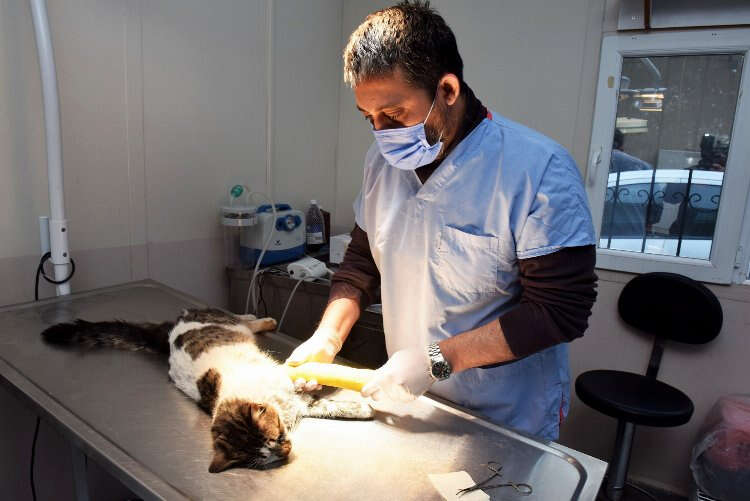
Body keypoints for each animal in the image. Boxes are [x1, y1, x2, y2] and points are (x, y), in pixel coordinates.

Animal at [41, 308, 374, 473]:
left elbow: (319, 389)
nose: (285, 450)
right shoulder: (300, 404)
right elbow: (332, 406)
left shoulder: (289, 385)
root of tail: (172, 328)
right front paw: (363, 407)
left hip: (223, 319)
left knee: (243, 318)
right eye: (266, 455)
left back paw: (265, 319)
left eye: (276, 437)